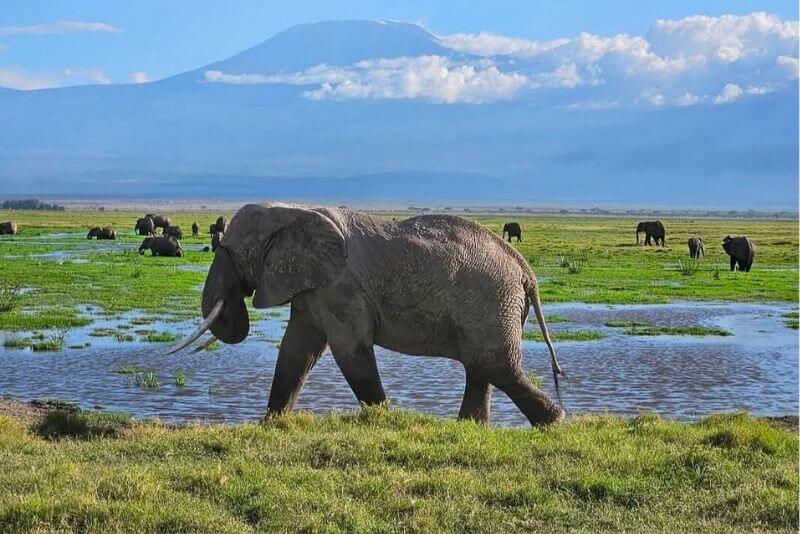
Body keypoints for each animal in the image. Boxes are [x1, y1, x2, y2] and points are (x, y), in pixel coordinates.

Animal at [169, 203, 565, 427]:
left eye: (230, 251)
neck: (293, 211)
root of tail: (526, 272)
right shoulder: (315, 286)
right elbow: (297, 351)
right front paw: (269, 425)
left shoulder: (341, 287)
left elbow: (349, 351)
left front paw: (384, 420)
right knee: (482, 369)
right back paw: (470, 429)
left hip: (492, 303)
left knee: (497, 367)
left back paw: (554, 423)